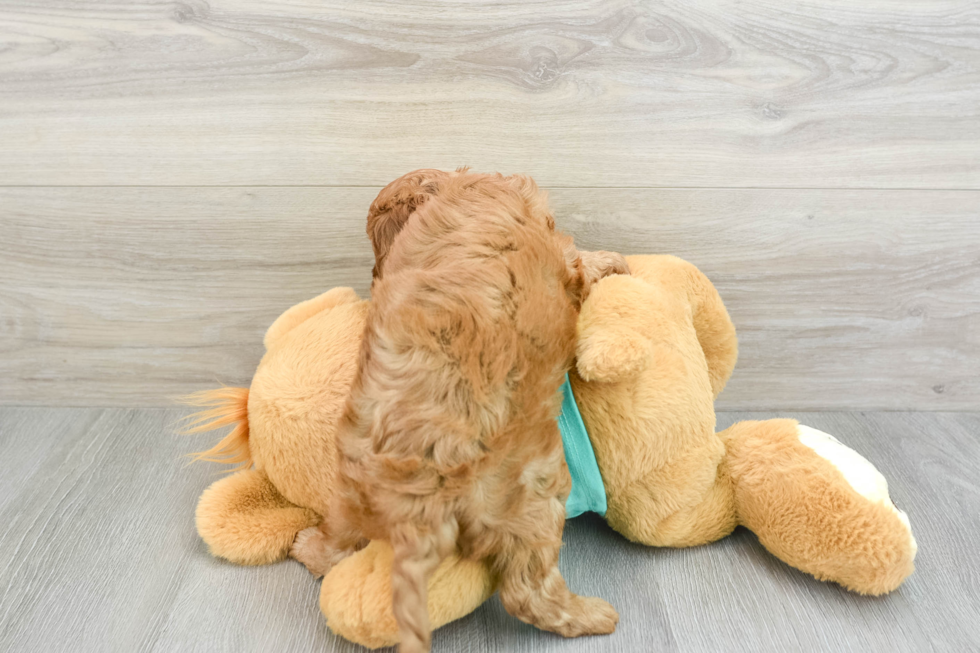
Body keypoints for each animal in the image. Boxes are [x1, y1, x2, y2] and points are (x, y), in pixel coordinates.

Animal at [294, 169, 624, 652]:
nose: (373, 278)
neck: (452, 186)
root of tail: (429, 498)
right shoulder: (560, 252)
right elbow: (581, 262)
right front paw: (612, 261)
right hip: (539, 494)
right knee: (531, 593)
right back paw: (598, 616)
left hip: (355, 486)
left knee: (340, 539)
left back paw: (309, 548)